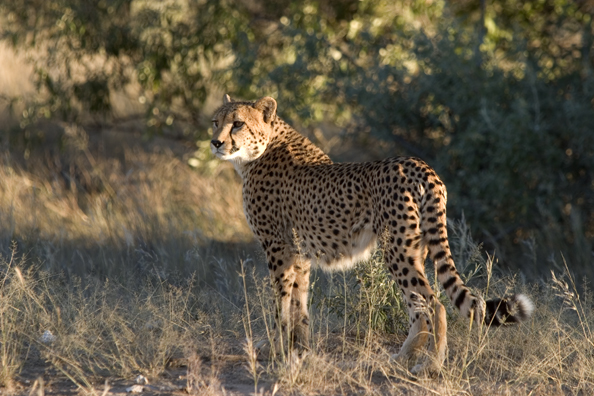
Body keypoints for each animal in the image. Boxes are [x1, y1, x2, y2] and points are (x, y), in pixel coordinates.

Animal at [209, 94, 532, 376]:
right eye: (215, 122)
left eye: (238, 123)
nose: (215, 142)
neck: (261, 149)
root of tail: (420, 164)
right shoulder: (299, 254)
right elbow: (299, 306)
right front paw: (298, 352)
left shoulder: (277, 247)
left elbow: (281, 303)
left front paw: (275, 349)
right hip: (414, 247)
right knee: (418, 308)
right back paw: (401, 358)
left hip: (397, 249)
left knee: (434, 304)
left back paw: (431, 365)